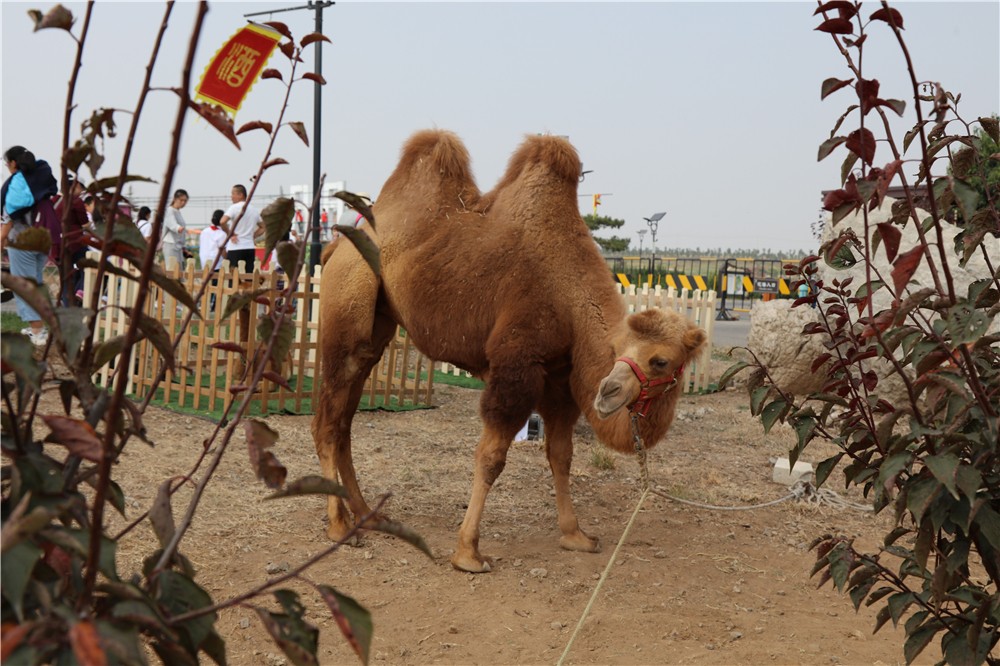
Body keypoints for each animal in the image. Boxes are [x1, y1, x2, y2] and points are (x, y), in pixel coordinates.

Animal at [316, 130, 708, 572]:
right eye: (626, 351)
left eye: (660, 360)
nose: (607, 393)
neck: (568, 293)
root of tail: (333, 248)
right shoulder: (517, 366)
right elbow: (492, 457)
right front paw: (468, 552)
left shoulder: (560, 380)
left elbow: (561, 455)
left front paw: (576, 536)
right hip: (348, 305)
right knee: (329, 420)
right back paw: (339, 527)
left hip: (376, 328)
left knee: (344, 420)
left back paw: (367, 515)